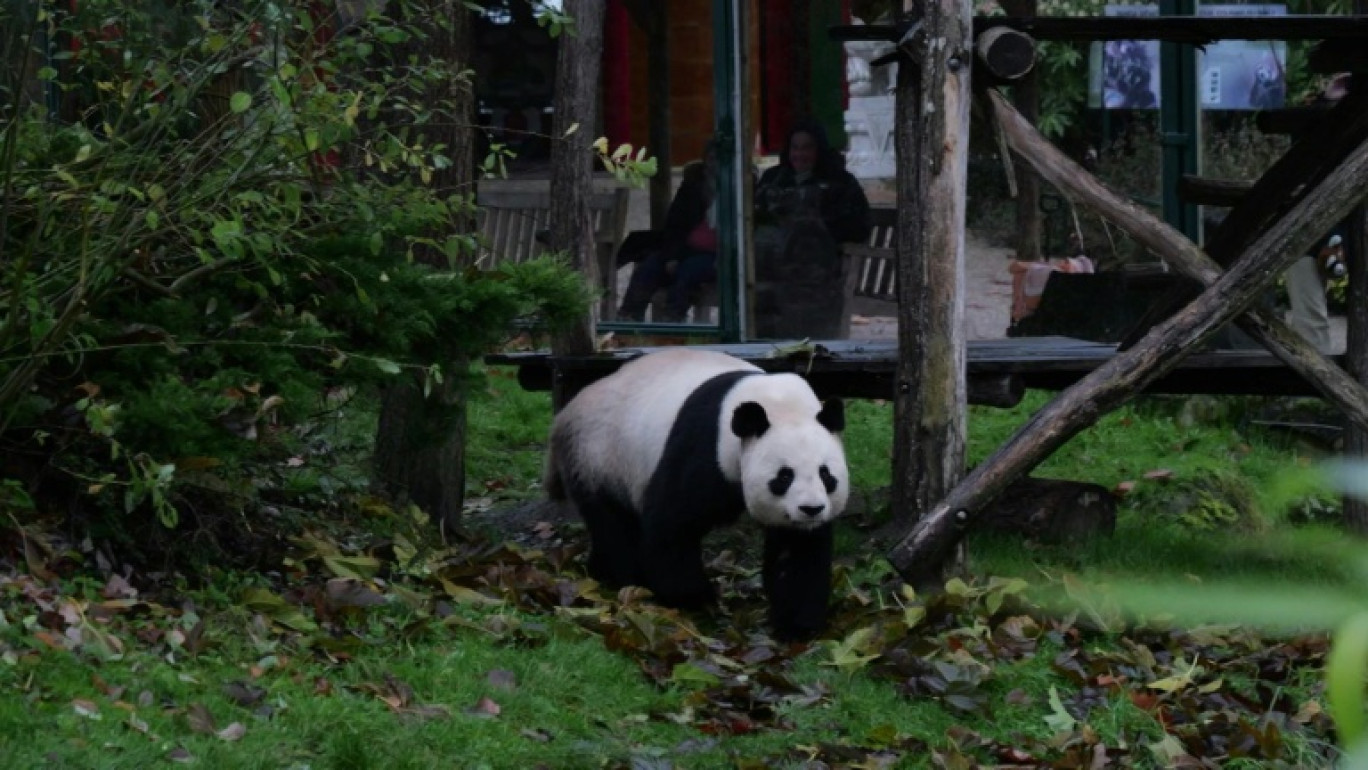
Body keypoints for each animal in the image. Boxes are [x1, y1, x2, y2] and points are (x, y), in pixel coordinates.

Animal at [544, 348, 849, 641]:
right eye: (784, 476)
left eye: (826, 475)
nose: (811, 509)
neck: (778, 404)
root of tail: (565, 414)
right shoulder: (705, 446)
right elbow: (672, 523)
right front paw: (694, 598)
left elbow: (798, 552)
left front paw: (797, 626)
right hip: (598, 455)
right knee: (614, 523)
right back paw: (626, 578)